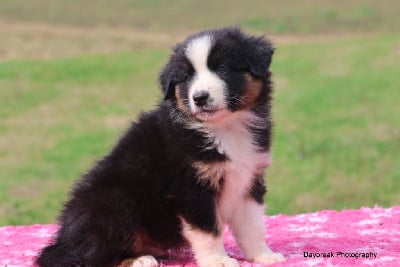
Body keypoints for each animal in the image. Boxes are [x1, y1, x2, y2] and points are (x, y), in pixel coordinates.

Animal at [35, 27, 284, 267]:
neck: (225, 128)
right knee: (91, 256)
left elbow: (253, 226)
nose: (200, 97)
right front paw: (218, 260)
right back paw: (138, 260)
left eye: (222, 68)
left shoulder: (249, 180)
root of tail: (62, 240)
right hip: (115, 203)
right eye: (186, 77)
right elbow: (208, 230)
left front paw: (263, 255)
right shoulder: (192, 188)